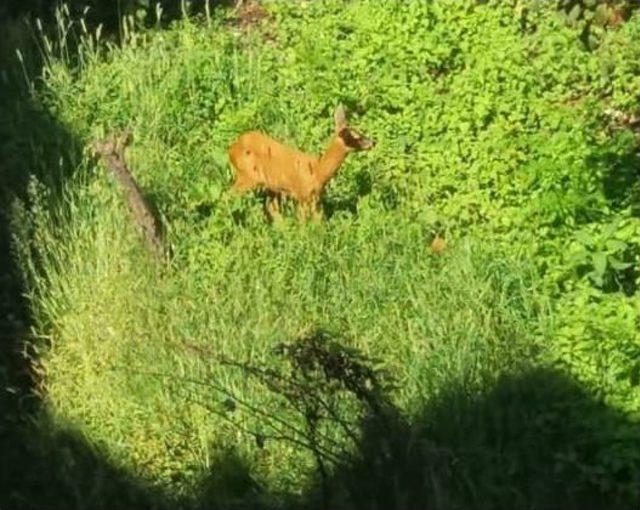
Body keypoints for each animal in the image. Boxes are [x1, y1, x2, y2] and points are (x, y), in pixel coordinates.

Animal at [228, 104, 376, 220]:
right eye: (356, 137)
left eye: (359, 132)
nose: (373, 142)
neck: (318, 171)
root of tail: (231, 150)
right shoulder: (302, 195)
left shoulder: (314, 198)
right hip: (246, 176)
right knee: (228, 196)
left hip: (269, 185)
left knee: (271, 207)